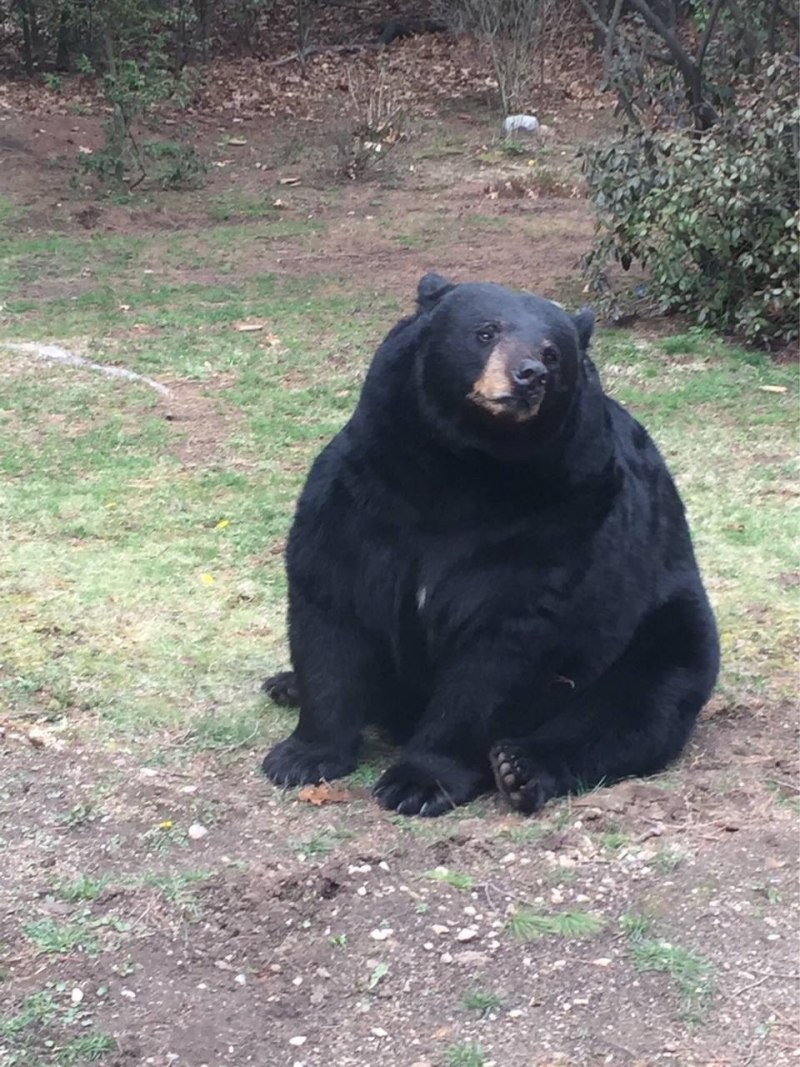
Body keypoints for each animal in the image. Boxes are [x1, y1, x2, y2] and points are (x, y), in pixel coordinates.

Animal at [261, 275, 721, 815]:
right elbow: (331, 605)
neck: (465, 468)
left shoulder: (560, 519)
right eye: (486, 331)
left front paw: (419, 782)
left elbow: (503, 650)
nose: (529, 375)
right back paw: (284, 683)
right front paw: (302, 756)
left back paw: (519, 767)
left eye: (553, 353)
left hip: (662, 624)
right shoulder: (361, 495)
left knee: (638, 702)